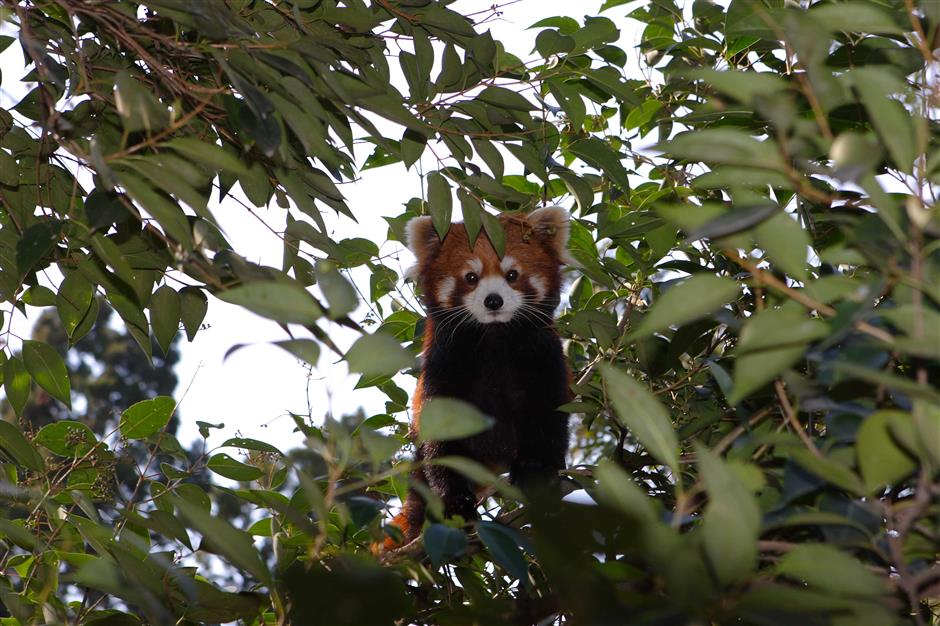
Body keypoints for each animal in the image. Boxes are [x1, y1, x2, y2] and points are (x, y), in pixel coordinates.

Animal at [382, 206, 572, 544]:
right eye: (471, 278)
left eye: (512, 275)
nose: (493, 300)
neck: (493, 336)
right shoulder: (445, 365)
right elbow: (442, 438)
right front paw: (455, 500)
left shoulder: (543, 359)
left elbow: (547, 414)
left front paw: (536, 469)